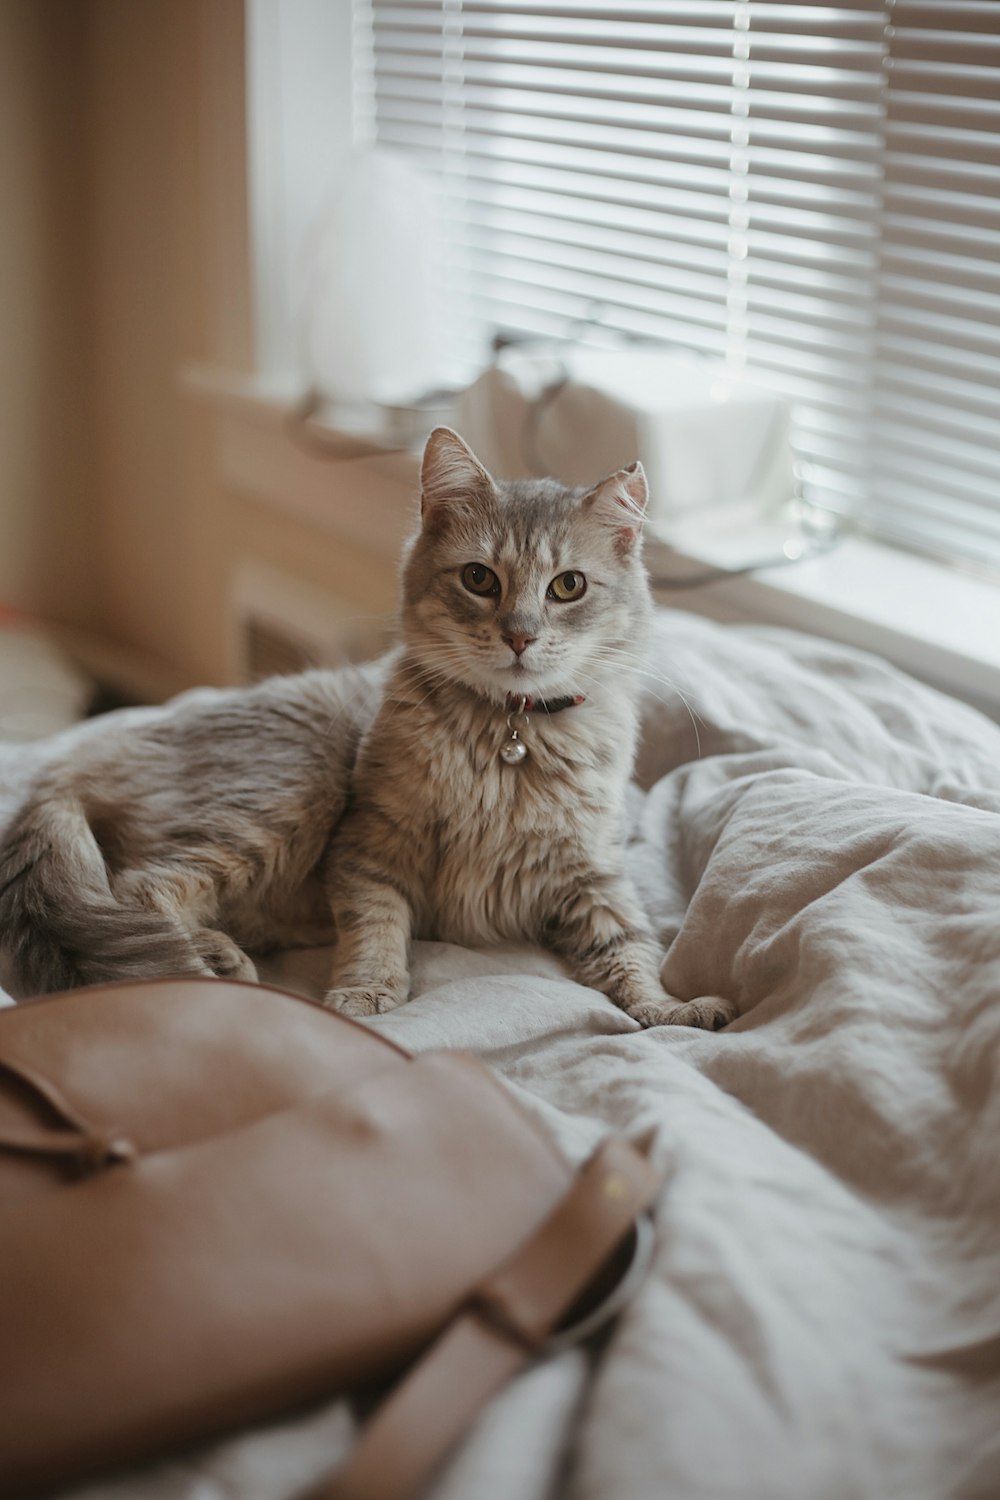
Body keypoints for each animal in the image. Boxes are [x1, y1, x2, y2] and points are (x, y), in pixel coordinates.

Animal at [0, 426, 734, 1032]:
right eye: (479, 579)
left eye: (568, 587)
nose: (520, 636)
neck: (508, 739)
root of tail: (76, 761)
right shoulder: (372, 848)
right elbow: (378, 929)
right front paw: (368, 994)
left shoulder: (593, 876)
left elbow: (631, 949)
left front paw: (669, 1010)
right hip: (285, 795)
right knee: (138, 889)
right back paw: (210, 960)